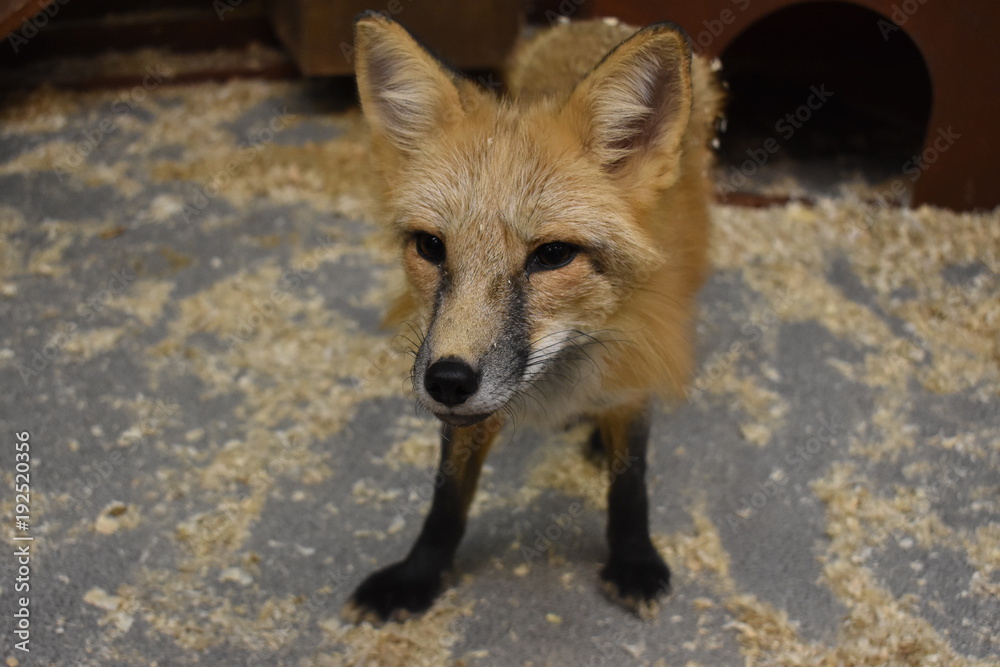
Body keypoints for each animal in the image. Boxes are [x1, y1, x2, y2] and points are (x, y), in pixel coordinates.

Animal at [343, 13, 721, 623]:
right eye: (430, 246)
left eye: (553, 255)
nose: (447, 381)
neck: (558, 375)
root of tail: (599, 22)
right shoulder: (467, 407)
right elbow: (446, 500)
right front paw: (418, 576)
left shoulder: (636, 350)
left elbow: (631, 480)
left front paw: (634, 559)